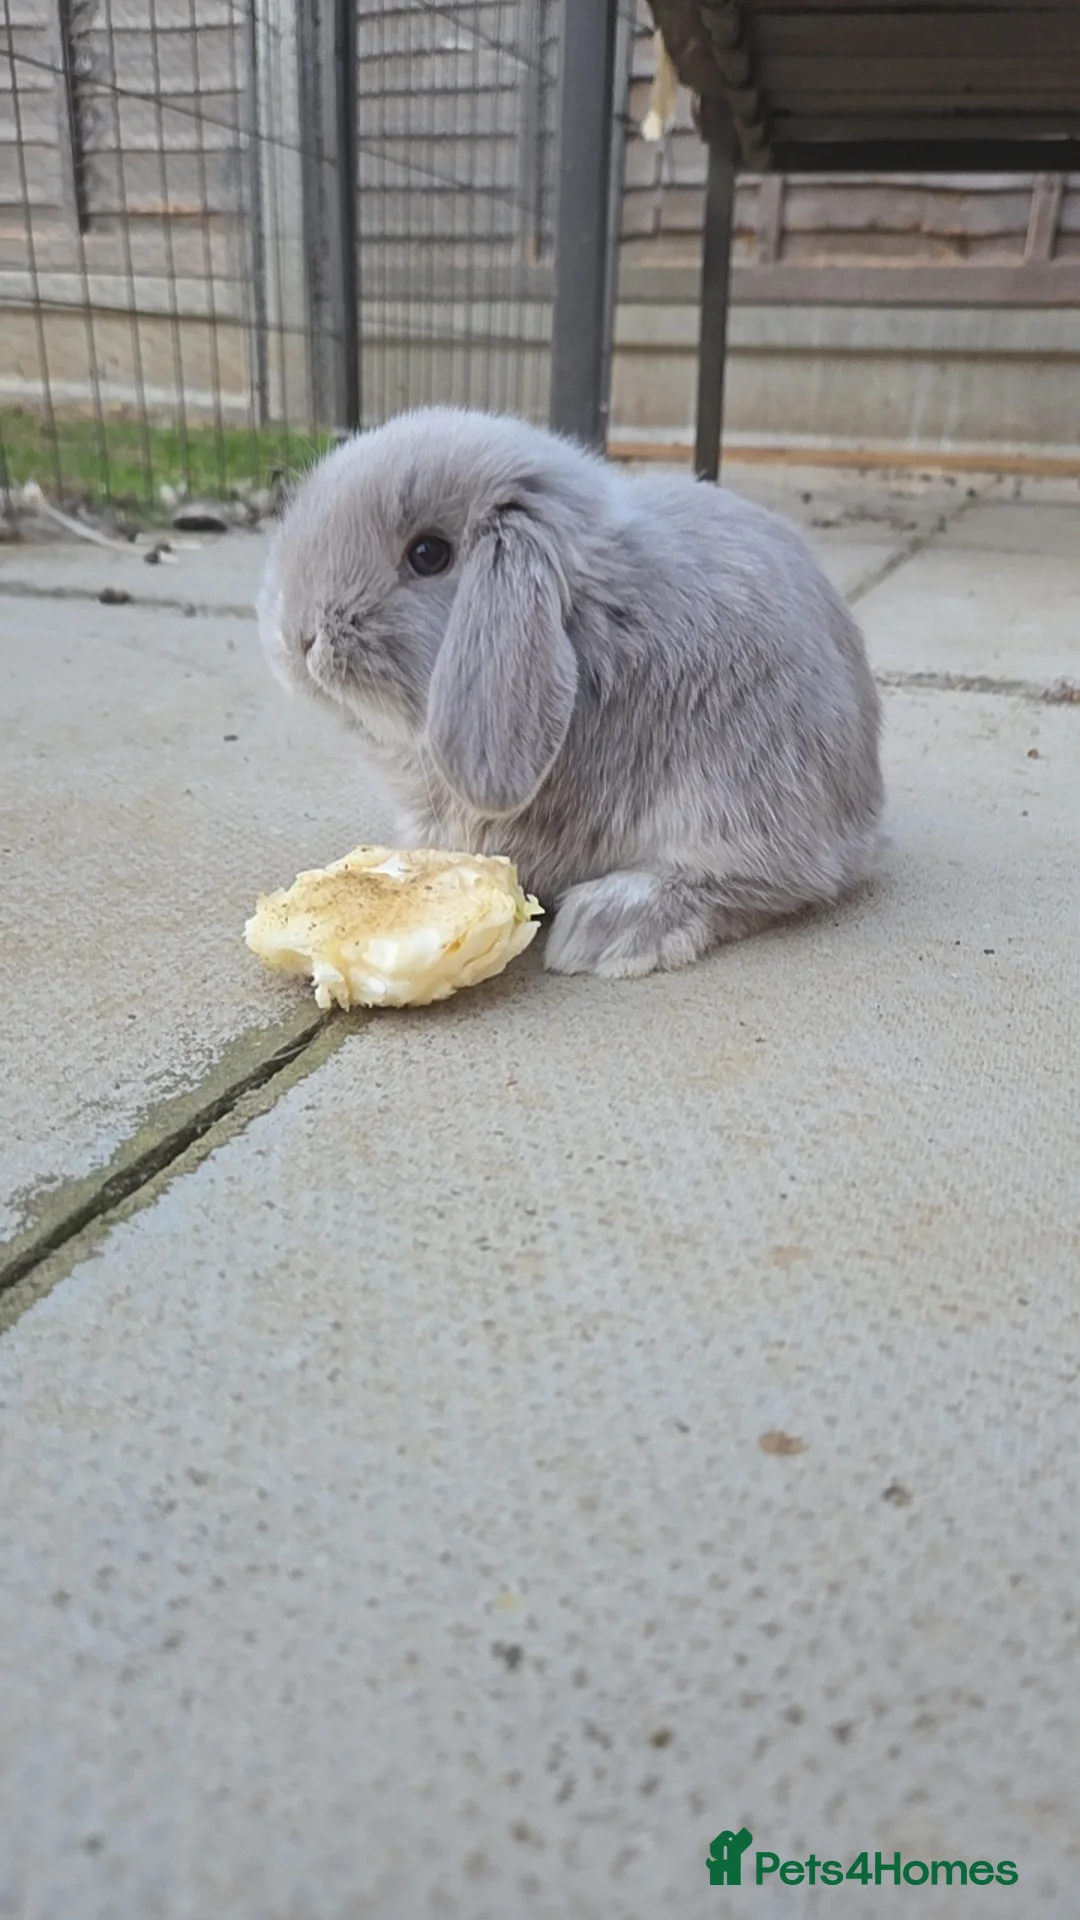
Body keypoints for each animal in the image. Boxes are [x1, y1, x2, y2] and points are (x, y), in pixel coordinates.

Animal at [258, 407, 885, 979]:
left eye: (428, 554)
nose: (298, 636)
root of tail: (863, 810)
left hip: (741, 788)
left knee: (766, 882)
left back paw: (606, 930)